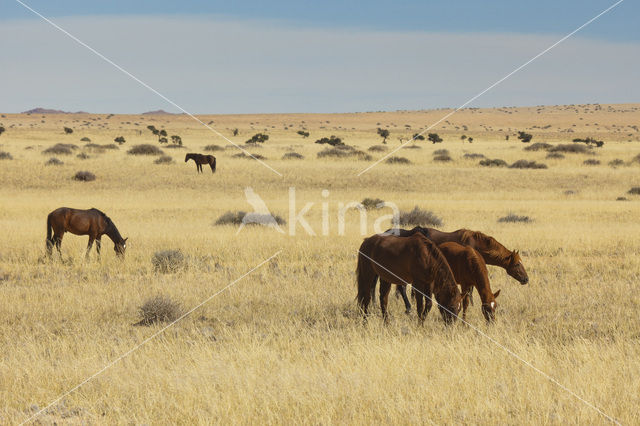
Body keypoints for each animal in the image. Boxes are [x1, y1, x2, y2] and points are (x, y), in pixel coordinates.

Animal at [384, 226, 524, 312]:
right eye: (517, 264)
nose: (526, 279)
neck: (475, 244)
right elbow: (470, 292)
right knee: (401, 288)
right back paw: (408, 307)